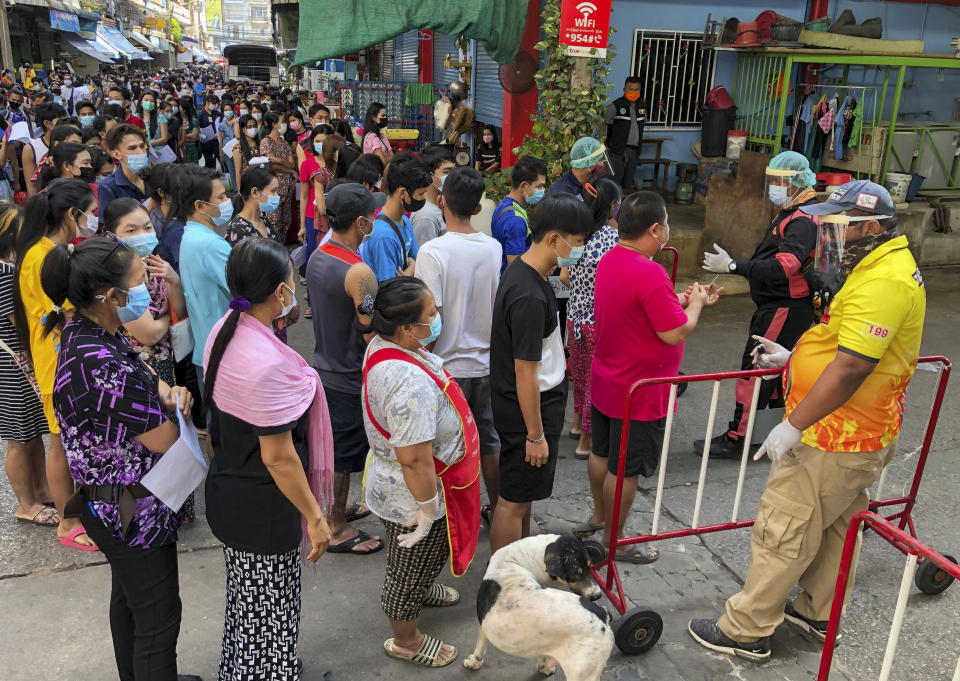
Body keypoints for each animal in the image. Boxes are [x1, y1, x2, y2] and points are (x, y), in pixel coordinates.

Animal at [464, 532, 616, 676]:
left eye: (590, 567)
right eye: (575, 574)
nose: (597, 595)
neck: (516, 560)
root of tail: (603, 615)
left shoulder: (483, 625)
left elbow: (479, 648)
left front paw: (473, 663)